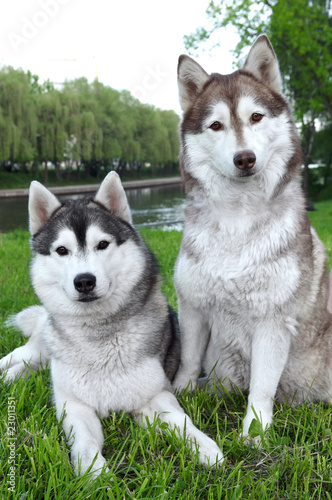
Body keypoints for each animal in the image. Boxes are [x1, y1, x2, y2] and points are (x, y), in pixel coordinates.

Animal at [0, 172, 223, 476]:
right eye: (62, 250)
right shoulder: (75, 405)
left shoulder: (155, 396)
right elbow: (84, 441)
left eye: (103, 244)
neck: (99, 335)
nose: (84, 281)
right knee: (16, 358)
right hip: (39, 350)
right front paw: (93, 473)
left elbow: (181, 421)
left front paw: (205, 448)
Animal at [172, 36, 332, 442]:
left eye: (256, 117)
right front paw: (181, 394)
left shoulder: (273, 320)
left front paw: (254, 434)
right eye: (216, 125)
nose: (244, 158)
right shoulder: (192, 305)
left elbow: (261, 386)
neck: (237, 220)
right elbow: (188, 360)